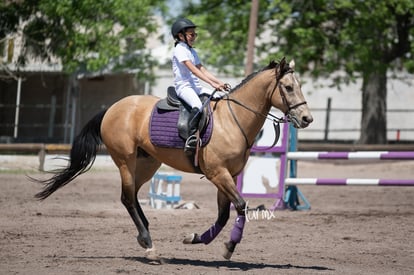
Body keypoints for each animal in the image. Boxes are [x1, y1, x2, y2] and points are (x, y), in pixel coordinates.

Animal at [34, 57, 312, 260]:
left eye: (300, 86)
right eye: (288, 88)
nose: (307, 119)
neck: (232, 121)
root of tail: (113, 107)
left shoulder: (228, 176)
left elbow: (224, 215)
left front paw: (196, 238)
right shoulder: (217, 174)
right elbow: (241, 206)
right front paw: (229, 247)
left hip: (147, 163)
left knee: (134, 195)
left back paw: (145, 233)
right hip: (125, 160)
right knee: (127, 197)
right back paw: (148, 244)